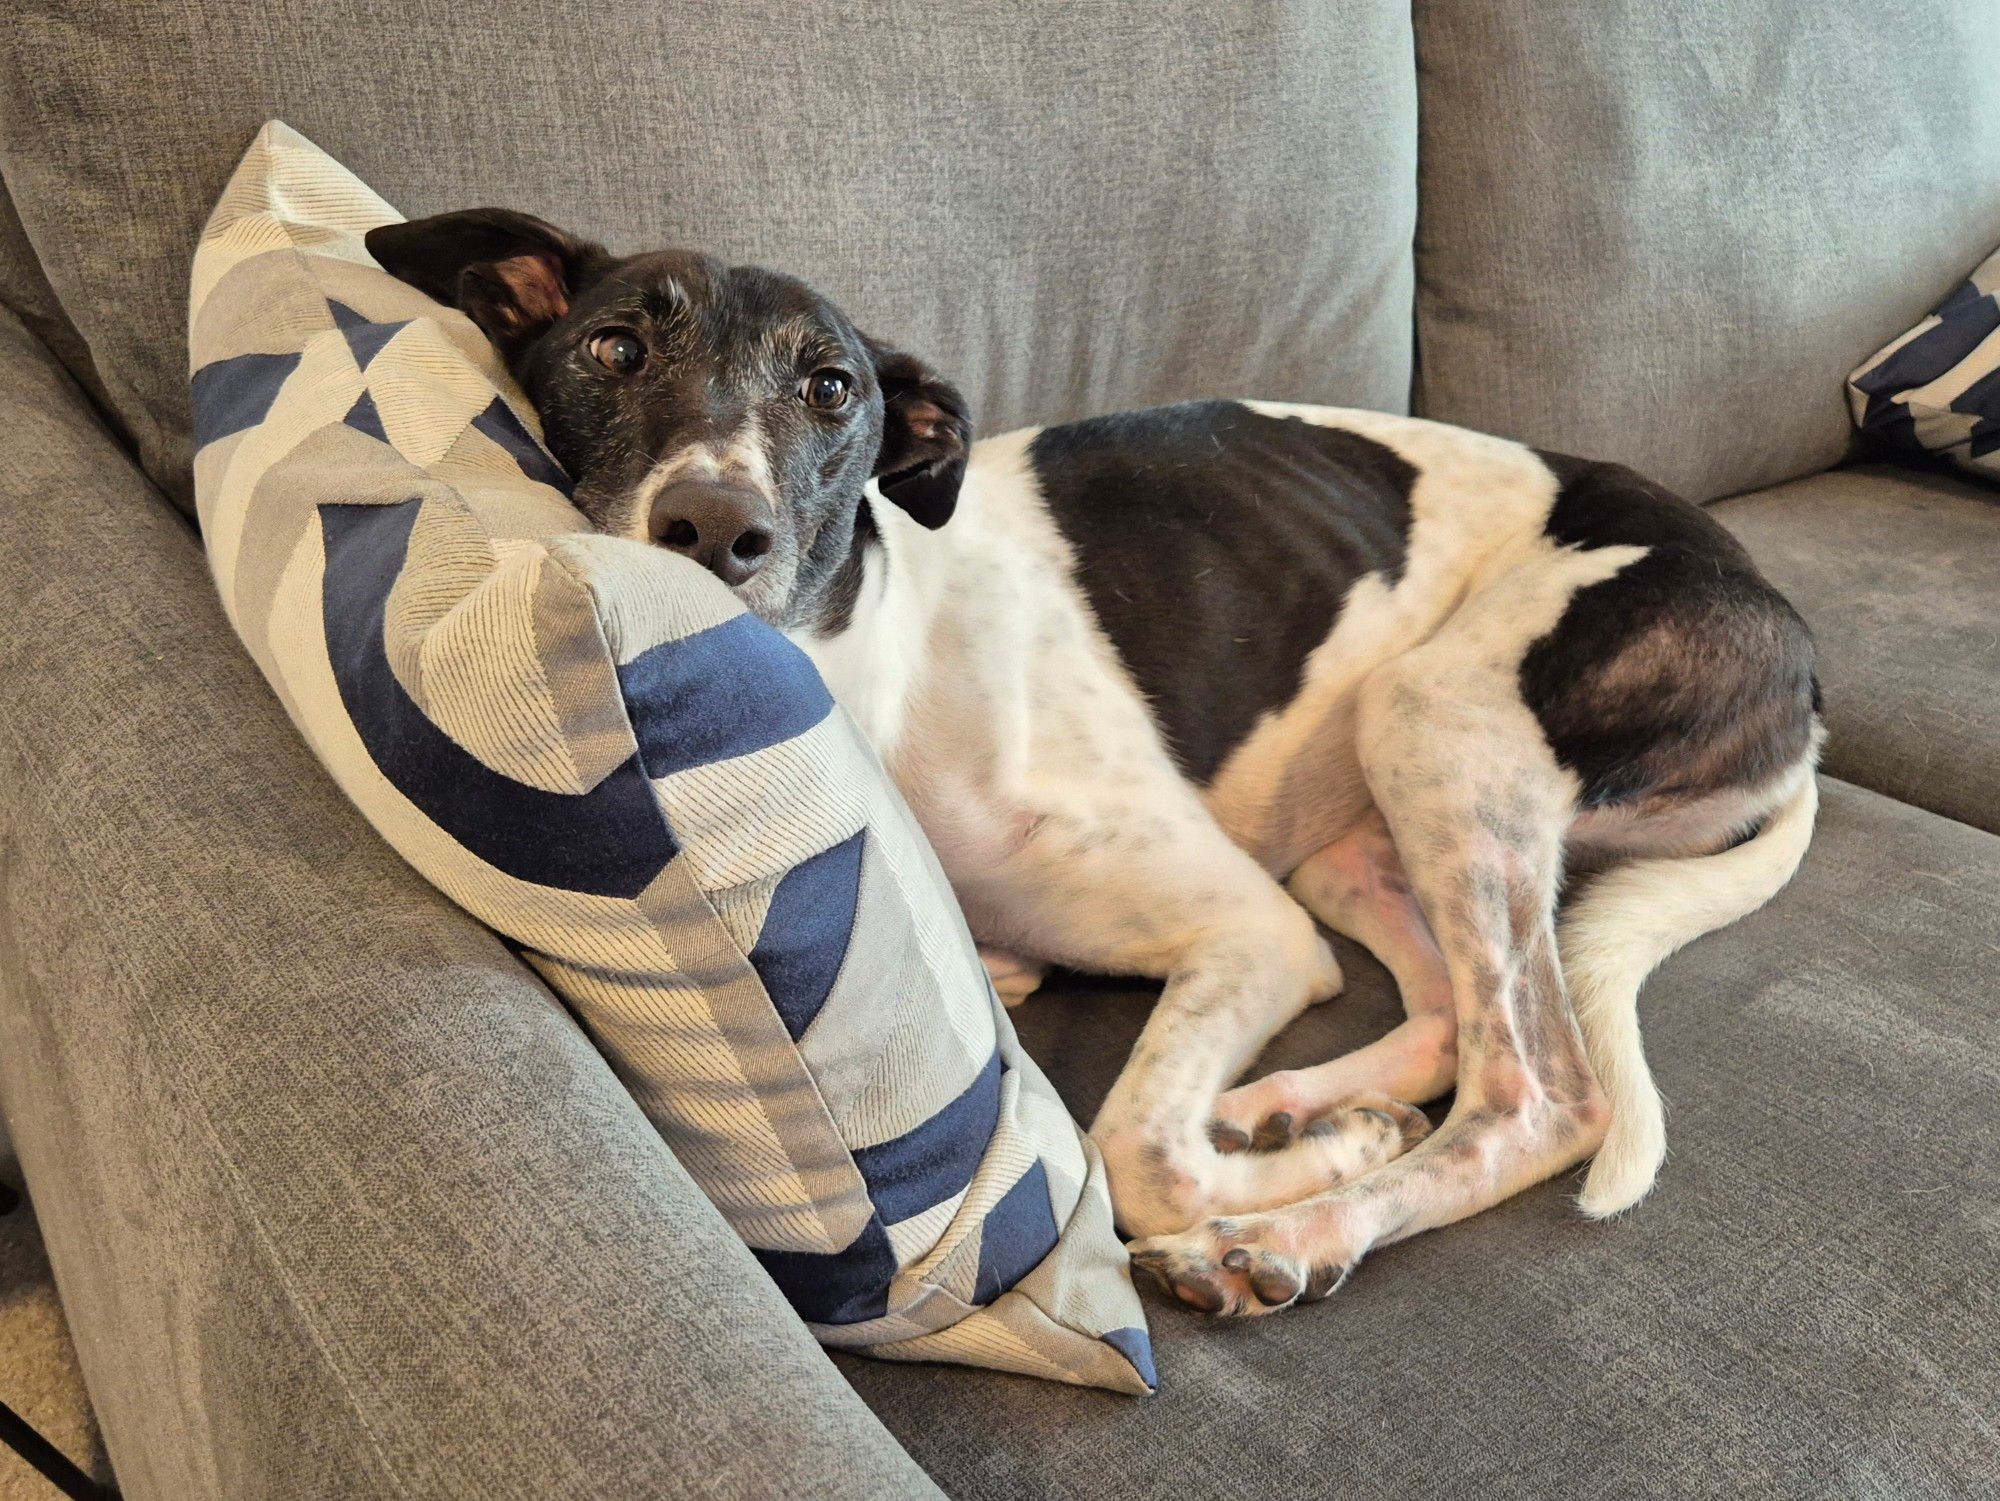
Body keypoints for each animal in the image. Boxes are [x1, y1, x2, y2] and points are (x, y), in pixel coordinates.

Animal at [368, 209, 1824, 1312]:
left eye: (830, 386)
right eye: (613, 344)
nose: (712, 526)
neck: (881, 668)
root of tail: (1797, 662)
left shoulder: (1245, 930)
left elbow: (1133, 1149)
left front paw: (1265, 1198)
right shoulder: (1220, 926)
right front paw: (1308, 1137)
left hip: (1436, 724)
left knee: (1536, 1088)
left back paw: (1297, 1222)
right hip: (1356, 825)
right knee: (1444, 1016)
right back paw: (1297, 1107)